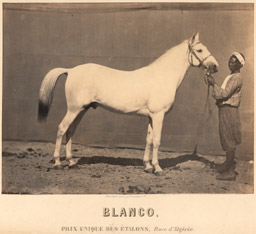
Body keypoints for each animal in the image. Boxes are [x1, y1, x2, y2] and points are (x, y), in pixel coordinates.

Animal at [38, 32, 218, 174]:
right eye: (200, 50)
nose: (215, 66)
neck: (162, 77)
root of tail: (71, 70)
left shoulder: (151, 117)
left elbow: (148, 139)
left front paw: (147, 166)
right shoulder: (158, 115)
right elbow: (157, 140)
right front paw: (157, 168)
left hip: (82, 110)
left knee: (70, 131)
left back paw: (71, 162)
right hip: (74, 109)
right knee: (62, 129)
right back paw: (58, 162)